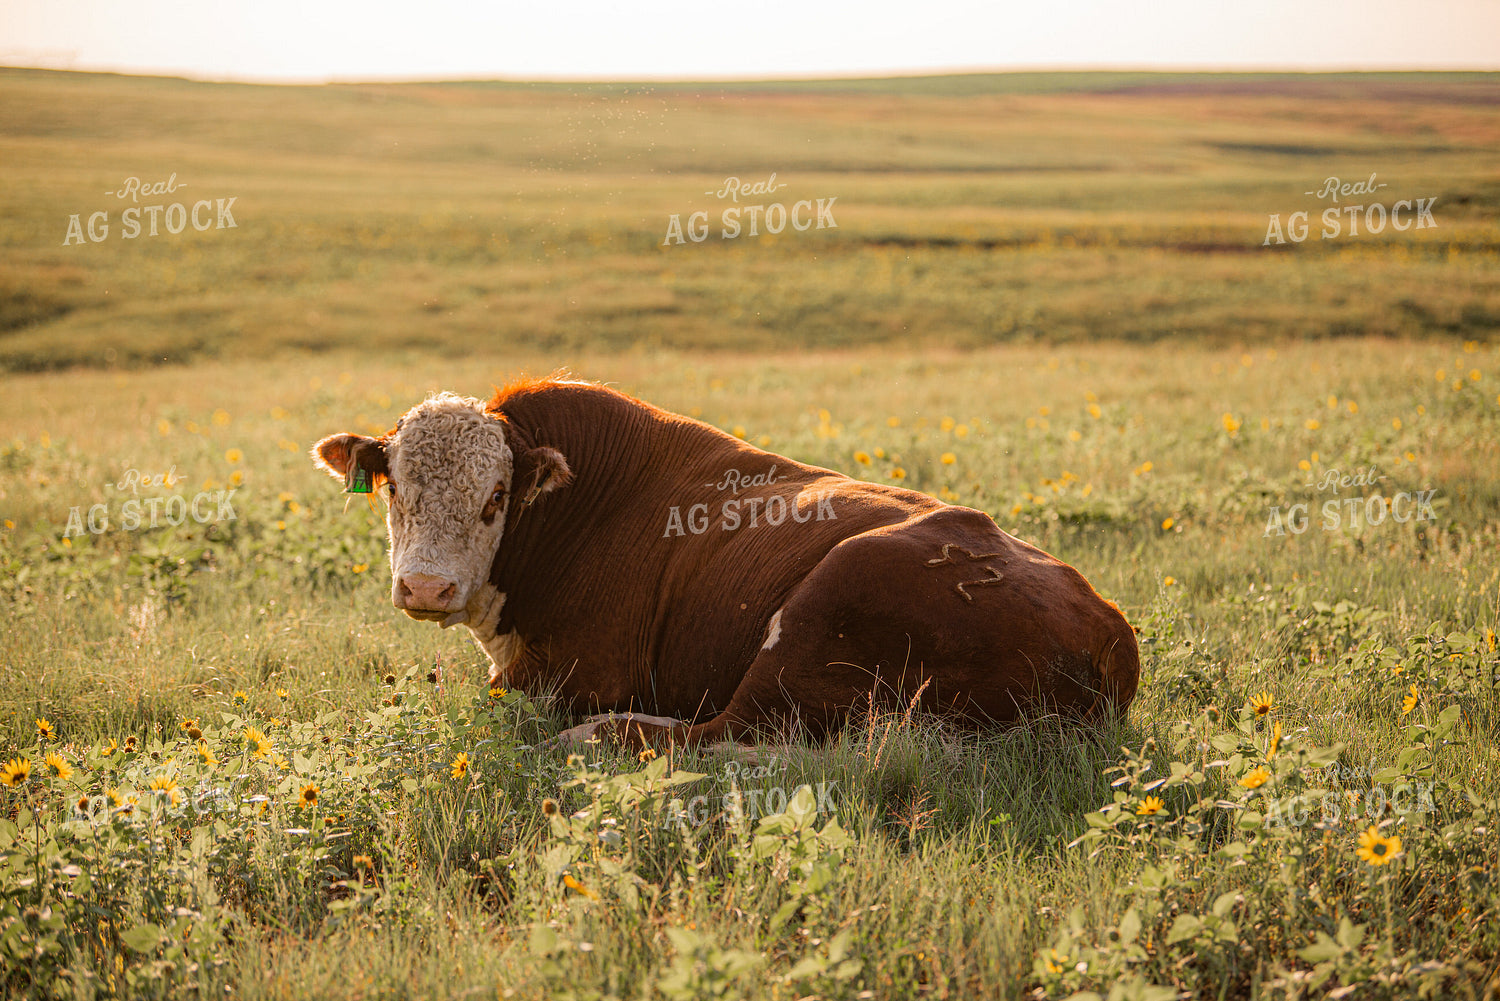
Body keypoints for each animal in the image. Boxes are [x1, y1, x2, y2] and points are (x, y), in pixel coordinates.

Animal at [312, 376, 1139, 747]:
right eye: (395, 489)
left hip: (826, 605)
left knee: (724, 731)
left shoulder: (569, 672)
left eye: (494, 499)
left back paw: (599, 733)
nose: (426, 586)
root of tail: (1109, 627)